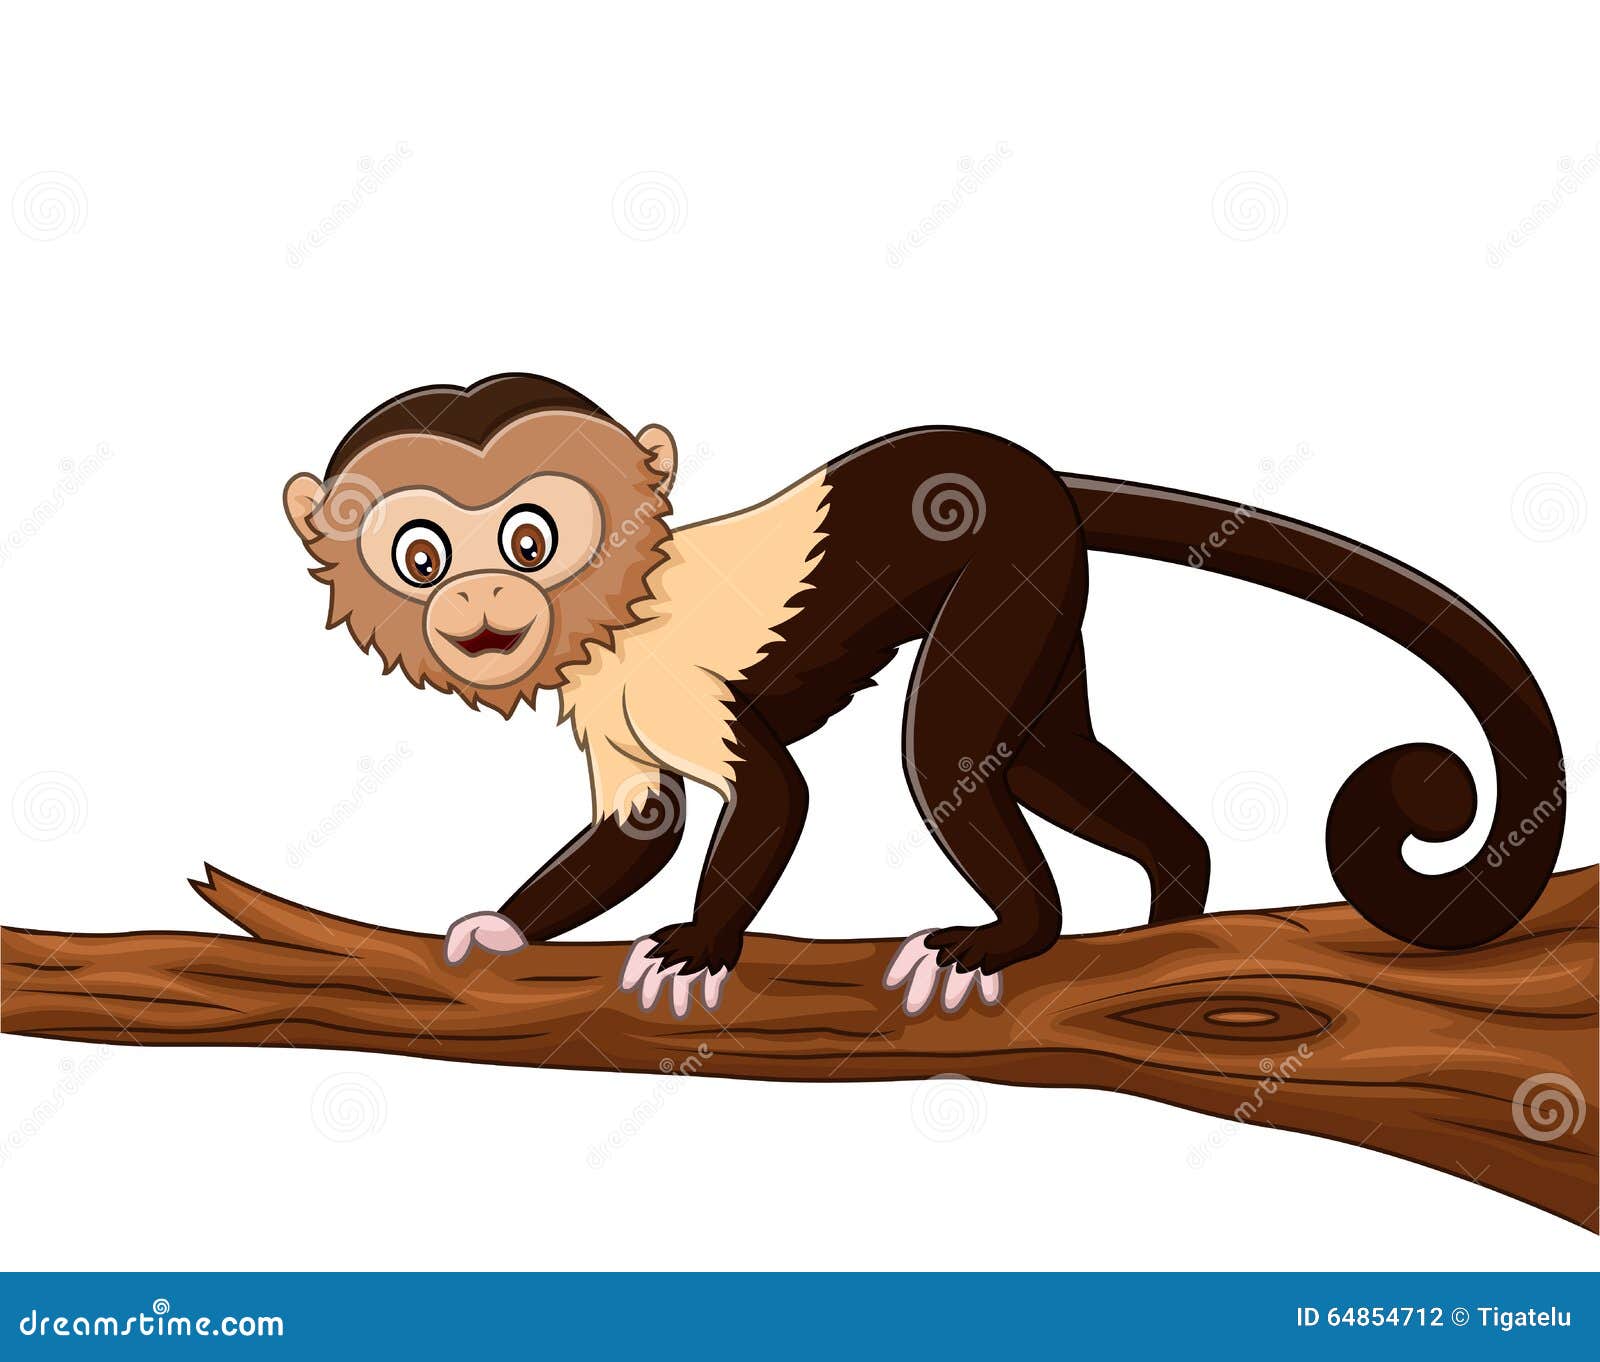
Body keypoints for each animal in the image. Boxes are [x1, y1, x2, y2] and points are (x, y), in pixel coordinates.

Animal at [282, 373, 1566, 1019]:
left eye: (529, 538)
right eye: (422, 557)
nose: (482, 600)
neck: (616, 610)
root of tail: (1031, 470)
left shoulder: (663, 673)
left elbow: (775, 797)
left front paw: (699, 948)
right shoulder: (603, 695)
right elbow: (638, 829)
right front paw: (505, 927)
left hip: (1014, 564)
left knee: (949, 744)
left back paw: (1012, 934)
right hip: (1049, 597)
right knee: (1044, 749)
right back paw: (1172, 903)